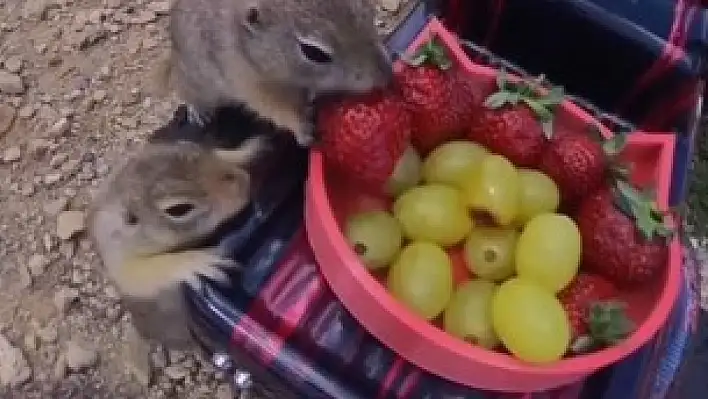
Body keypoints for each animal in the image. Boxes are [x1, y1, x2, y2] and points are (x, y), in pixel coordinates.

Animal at [87, 139, 264, 348]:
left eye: (189, 145)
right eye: (178, 209)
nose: (245, 182)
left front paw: (243, 151)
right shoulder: (119, 256)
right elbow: (143, 274)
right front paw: (197, 262)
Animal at [166, 0, 392, 147]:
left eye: (368, 11)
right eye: (313, 52)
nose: (386, 75)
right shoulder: (254, 86)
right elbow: (282, 111)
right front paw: (305, 129)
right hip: (195, 80)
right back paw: (198, 112)